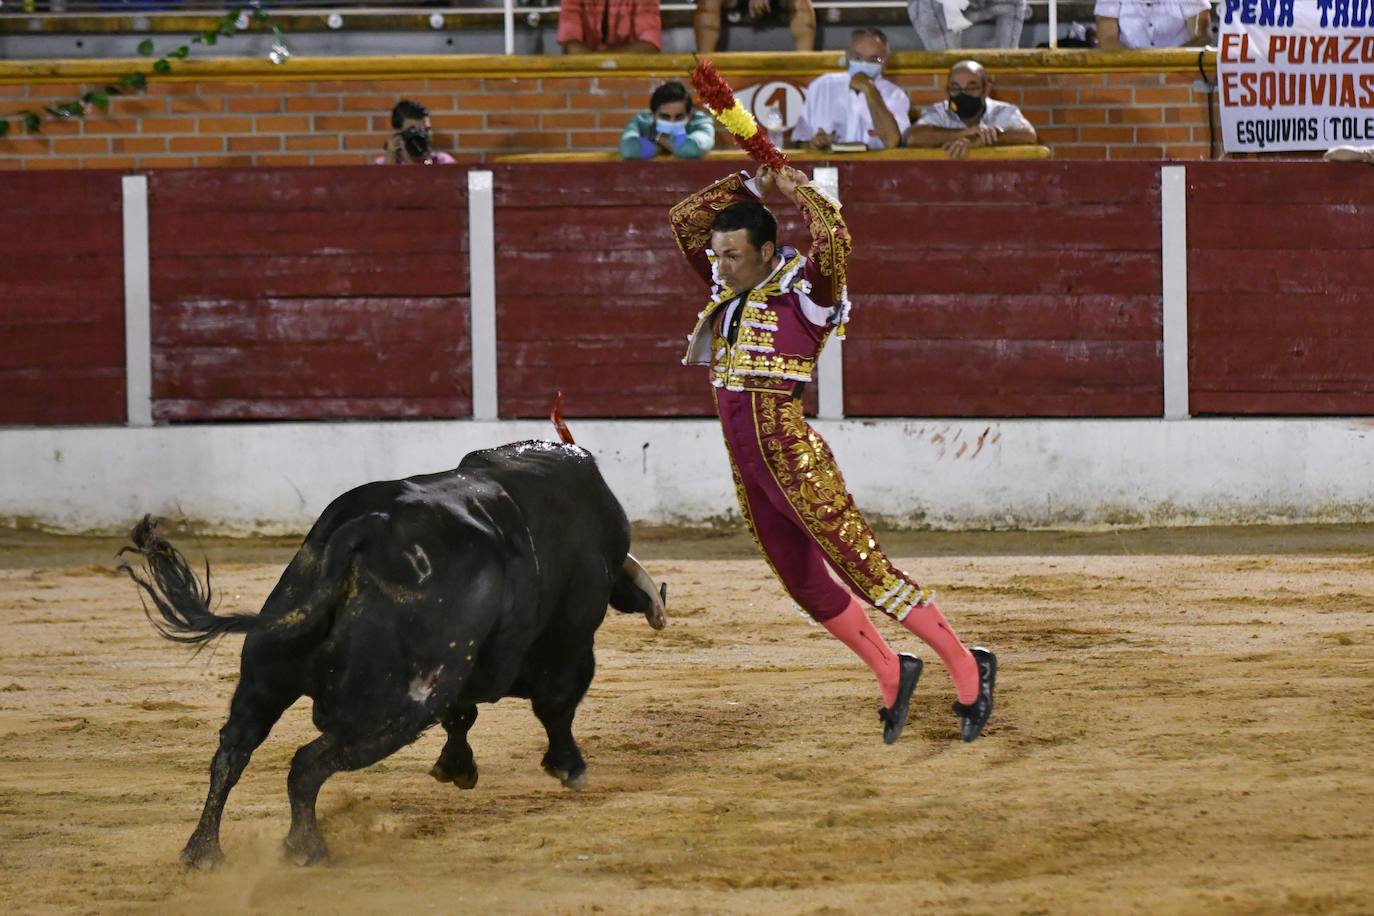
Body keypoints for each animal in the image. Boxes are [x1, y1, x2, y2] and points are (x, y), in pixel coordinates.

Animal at [120, 442, 667, 867]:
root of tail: (360, 532)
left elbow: (463, 716)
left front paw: (456, 768)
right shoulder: (569, 637)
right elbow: (556, 704)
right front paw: (568, 767)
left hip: (266, 677)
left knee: (232, 753)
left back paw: (203, 853)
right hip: (389, 711)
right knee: (305, 766)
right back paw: (305, 848)